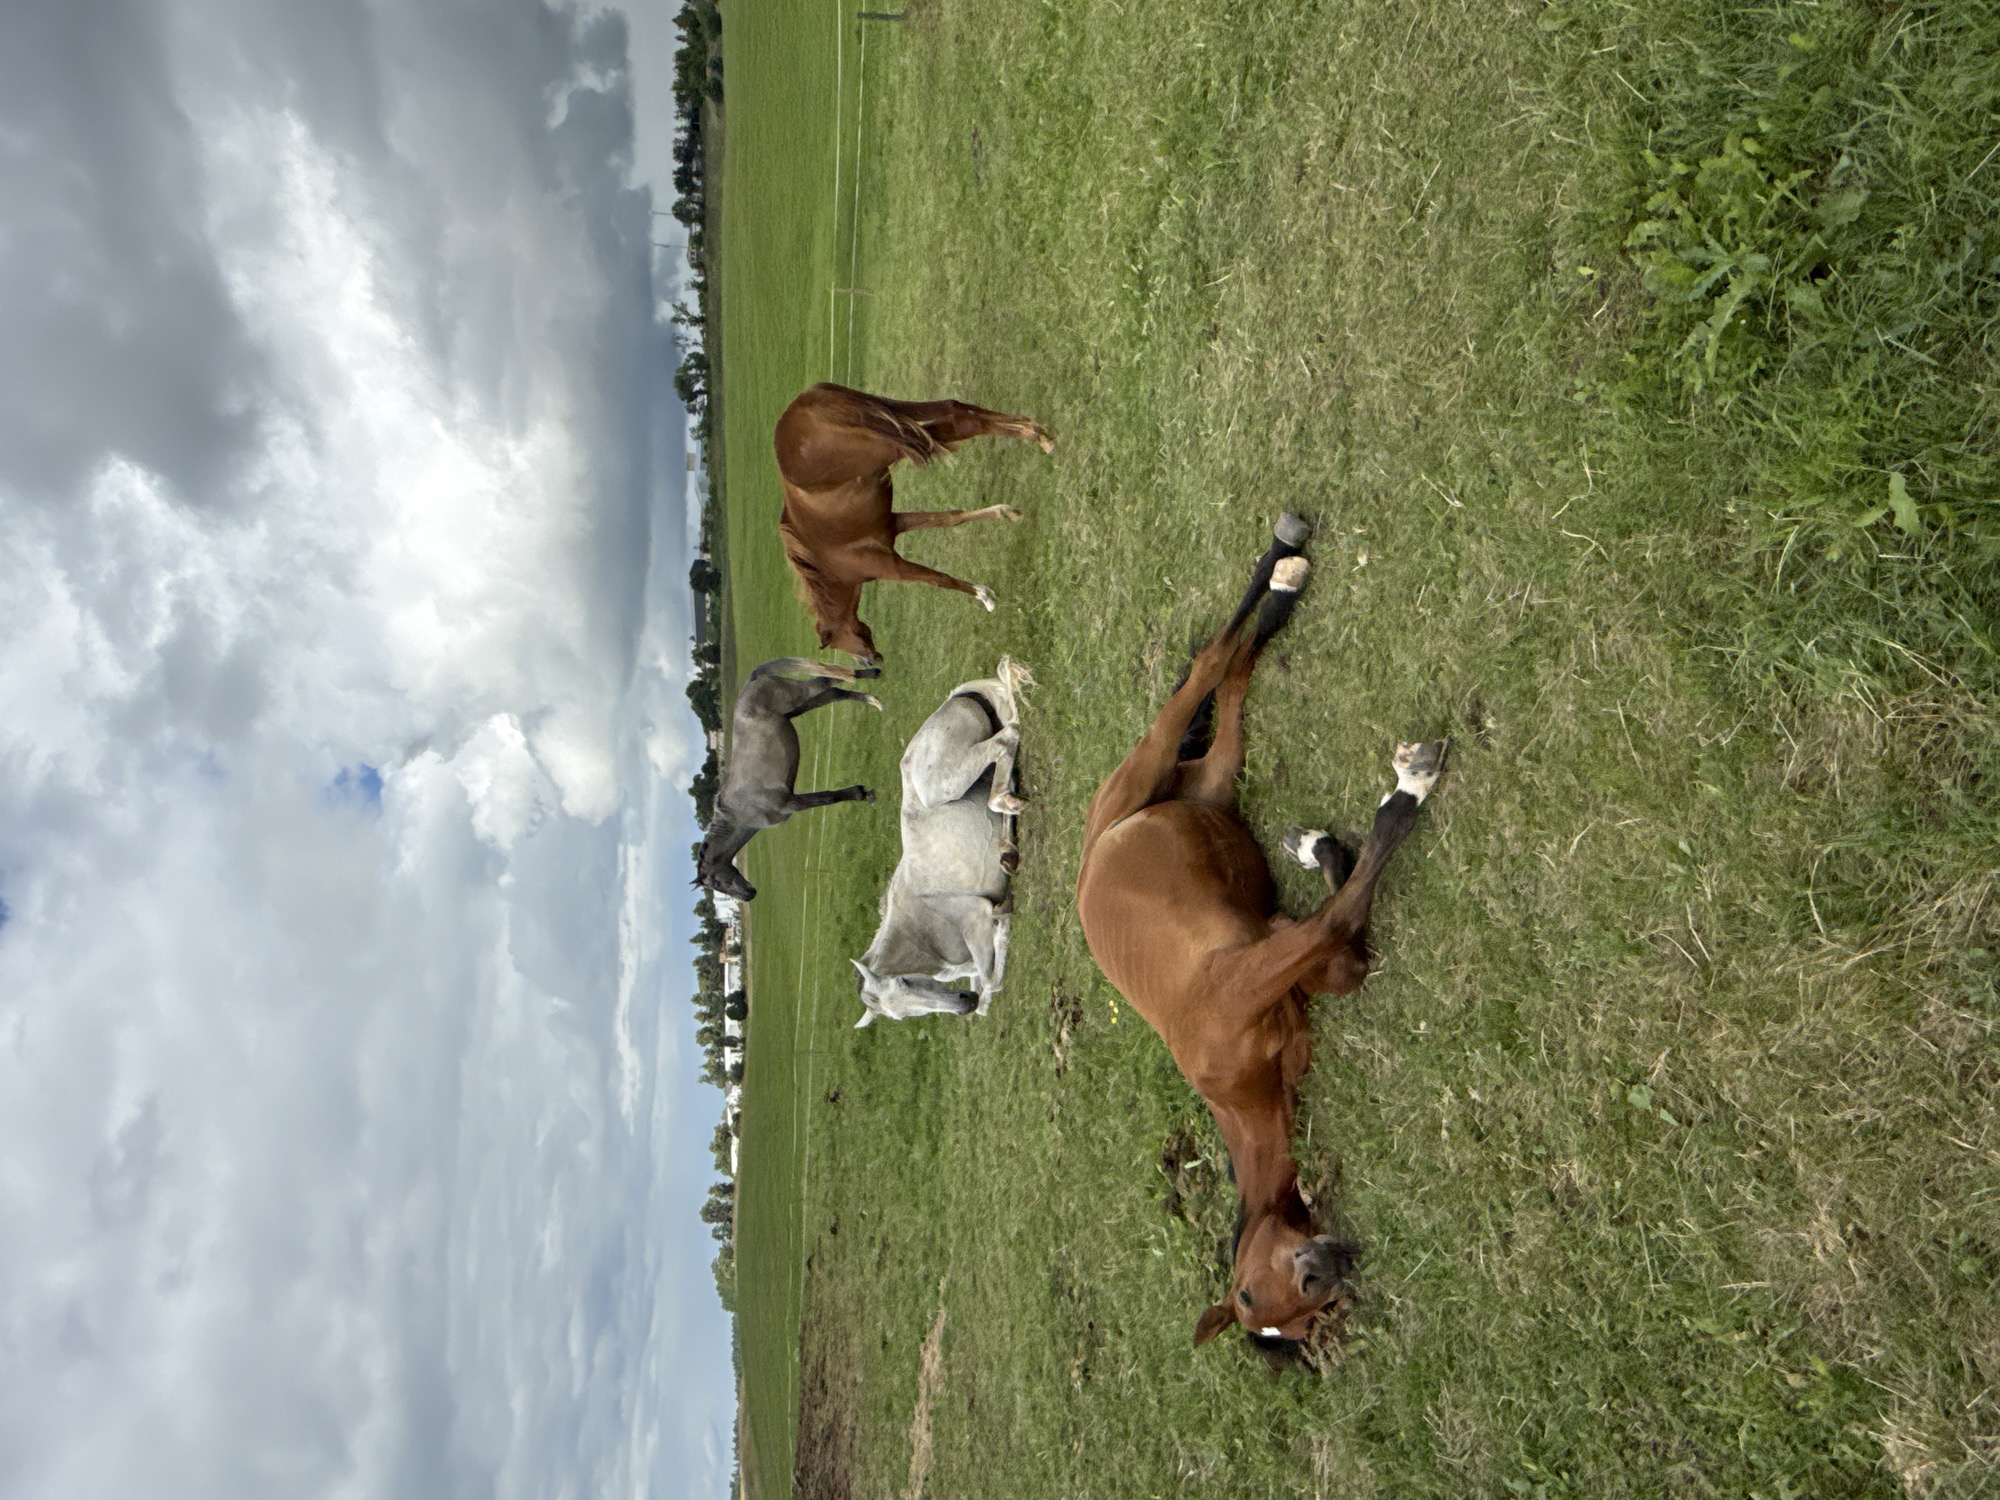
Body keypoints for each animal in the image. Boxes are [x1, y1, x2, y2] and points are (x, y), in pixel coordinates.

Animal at [695, 658, 884, 901]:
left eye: (717, 882)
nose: (749, 895)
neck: (740, 811)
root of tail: (752, 679)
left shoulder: (791, 803)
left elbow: (829, 798)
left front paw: (863, 794)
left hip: (798, 696)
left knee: (824, 682)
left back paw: (872, 678)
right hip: (800, 706)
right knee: (833, 692)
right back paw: (873, 696)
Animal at [774, 383, 1054, 668]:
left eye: (835, 642)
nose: (871, 663)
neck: (827, 563)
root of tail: (810, 406)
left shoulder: (891, 567)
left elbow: (939, 579)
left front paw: (984, 595)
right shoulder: (894, 523)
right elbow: (950, 518)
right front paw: (1004, 512)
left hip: (895, 445)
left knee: (960, 423)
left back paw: (1036, 436)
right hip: (897, 412)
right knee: (956, 412)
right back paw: (1035, 430)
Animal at [852, 658, 1032, 1026]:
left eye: (906, 982)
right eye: (899, 1017)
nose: (964, 1003)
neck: (920, 927)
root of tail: (957, 697)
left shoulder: (975, 919)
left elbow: (991, 980)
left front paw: (1003, 925)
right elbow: (985, 988)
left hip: (943, 785)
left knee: (1005, 740)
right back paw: (1007, 845)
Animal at [1073, 515, 1447, 1353]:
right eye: (1270, 1309)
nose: (1323, 1270)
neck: (1249, 1081)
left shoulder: (1262, 963)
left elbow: (1342, 906)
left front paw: (1408, 784)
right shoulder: (1295, 953)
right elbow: (1344, 927)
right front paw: (1325, 843)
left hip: (1148, 770)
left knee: (1209, 668)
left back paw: (1282, 566)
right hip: (1215, 779)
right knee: (1234, 686)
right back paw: (1285, 584)